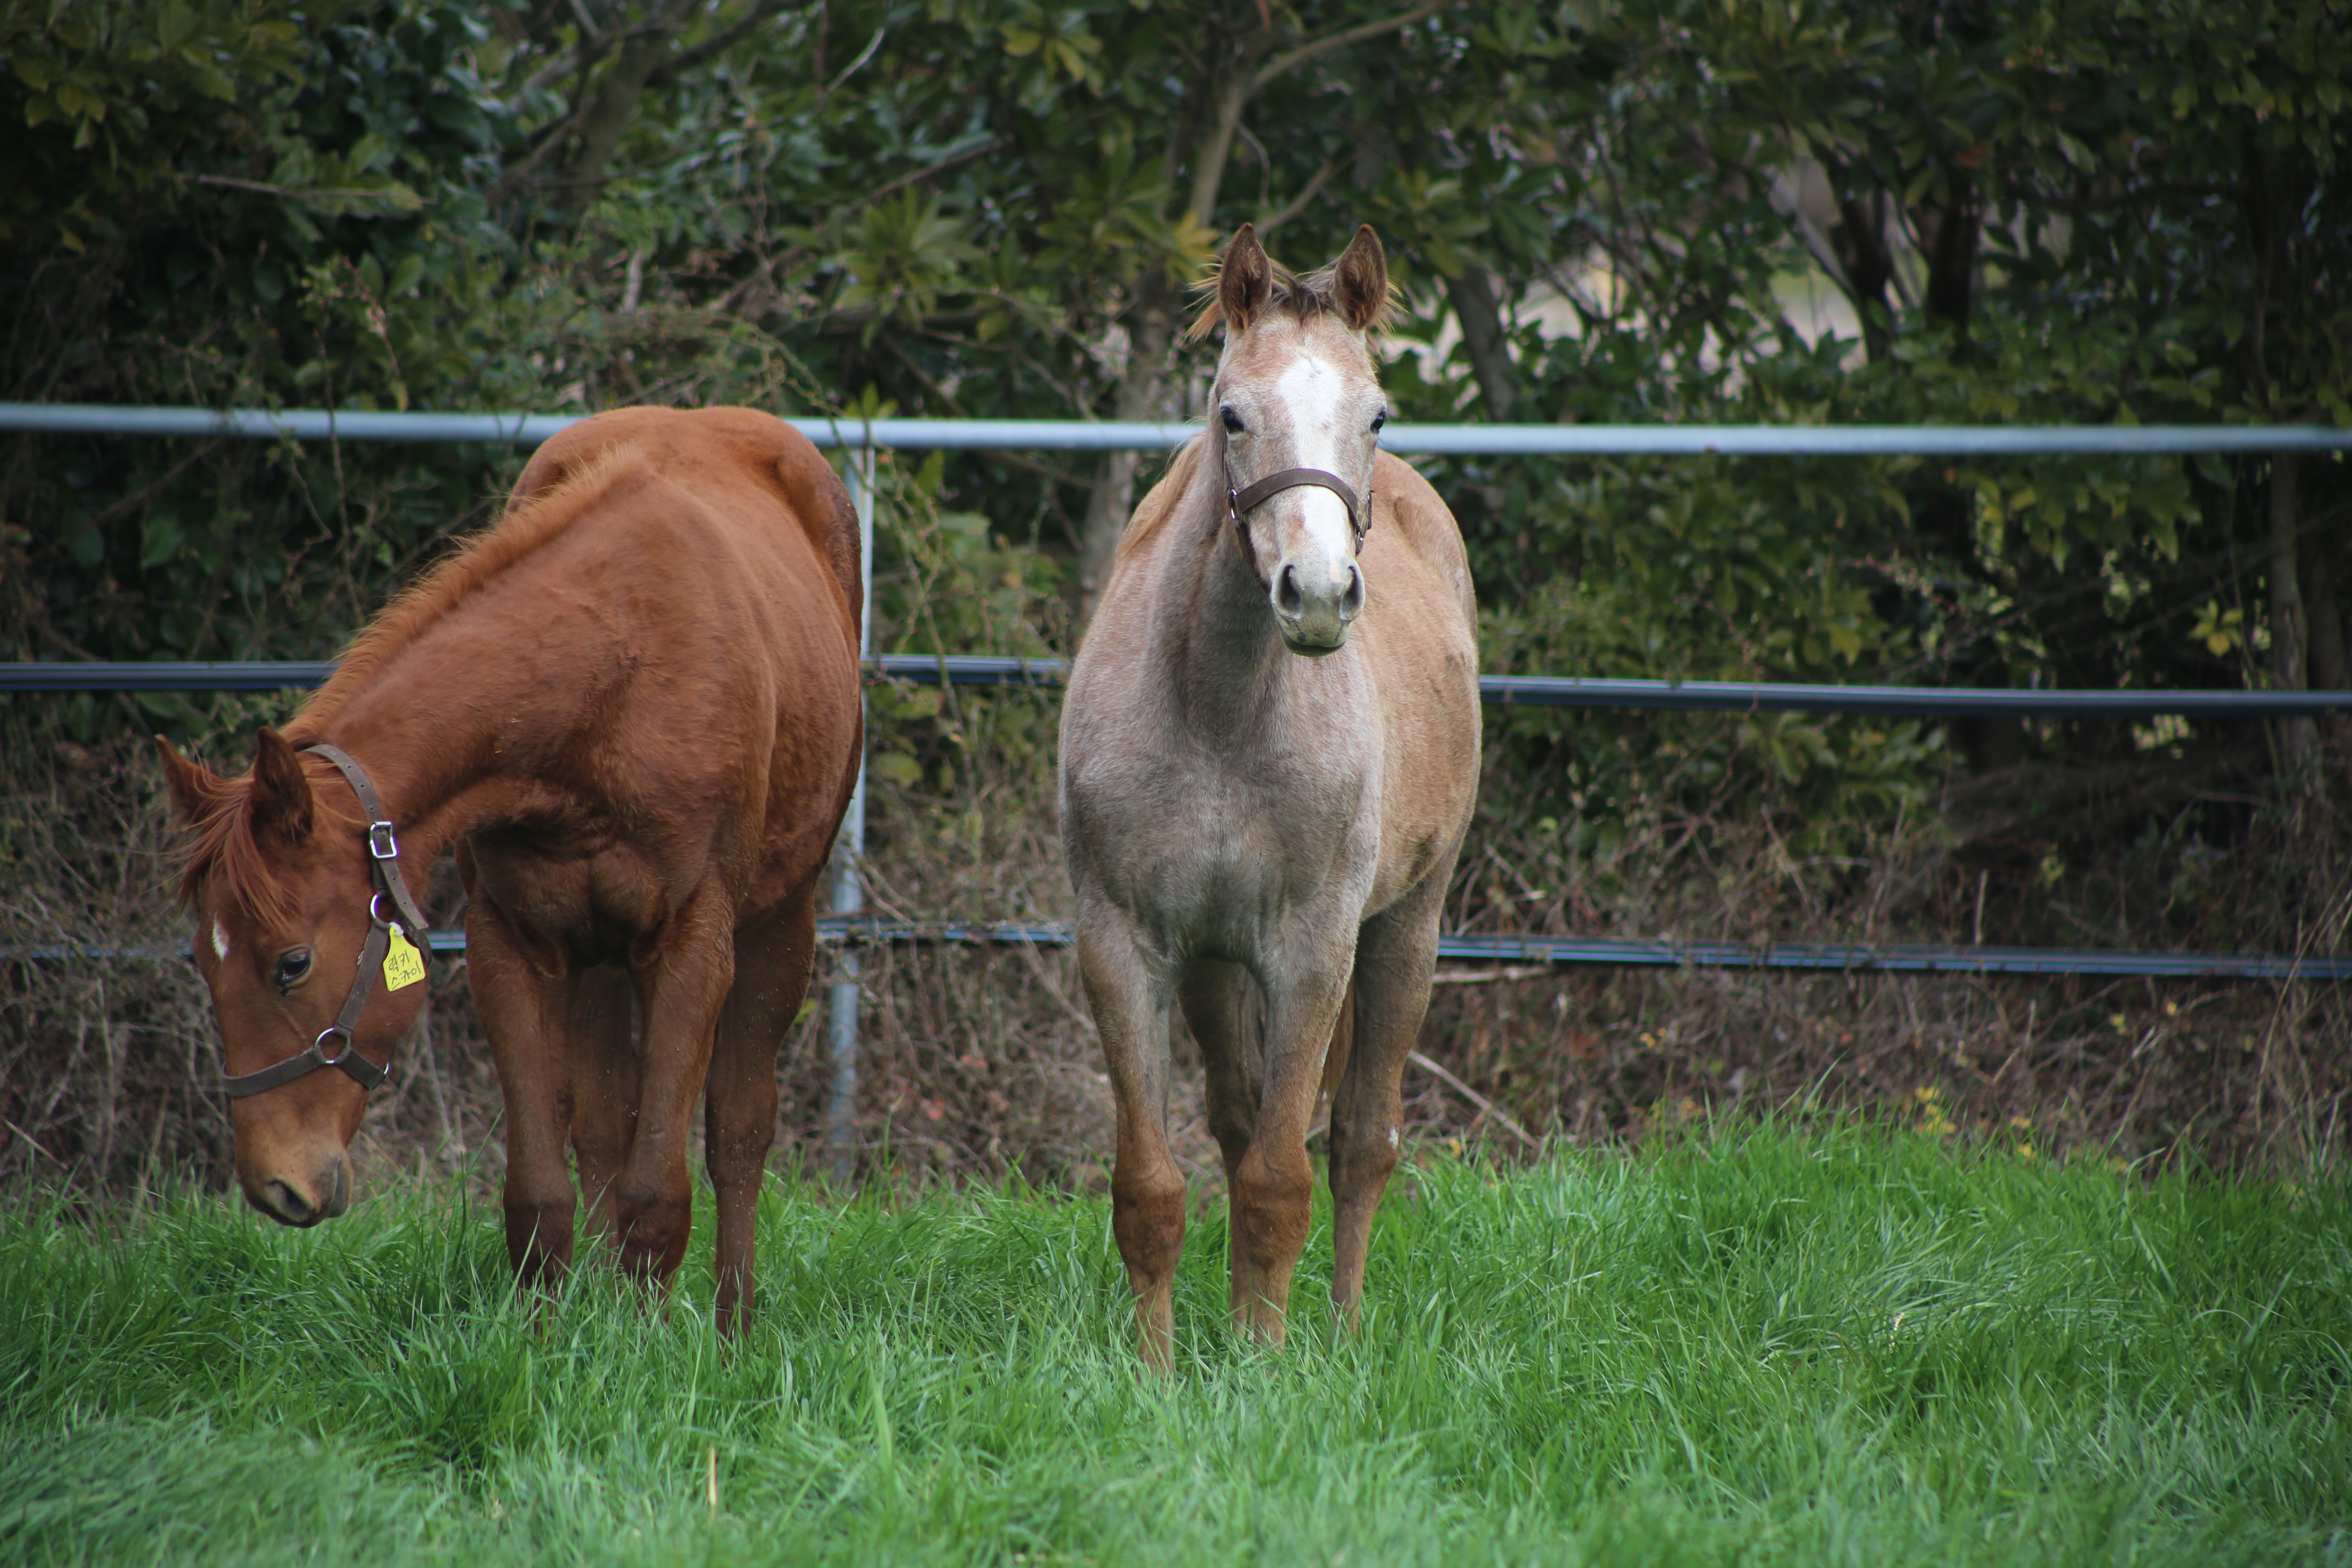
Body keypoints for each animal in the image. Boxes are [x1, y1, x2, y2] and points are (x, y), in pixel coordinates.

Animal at [161, 409, 870, 1335]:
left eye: (293, 963)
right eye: (203, 964)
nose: (275, 1186)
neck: (609, 675)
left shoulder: (693, 950)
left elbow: (660, 1190)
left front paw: (655, 1355)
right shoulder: (515, 947)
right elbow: (541, 1194)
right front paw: (553, 1345)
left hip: (780, 927)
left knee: (739, 1132)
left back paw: (733, 1329)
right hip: (598, 954)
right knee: (604, 1125)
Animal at [1063, 227, 1477, 1363]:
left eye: (1375, 414)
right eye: (1230, 414)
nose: (1319, 594)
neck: (1216, 709)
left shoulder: (1312, 950)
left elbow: (1280, 1184)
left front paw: (1266, 1366)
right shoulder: (1123, 945)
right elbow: (1153, 1189)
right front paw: (1159, 1373)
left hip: (1407, 926)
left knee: (1362, 1139)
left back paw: (1336, 1328)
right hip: (1213, 968)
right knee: (1243, 1120)